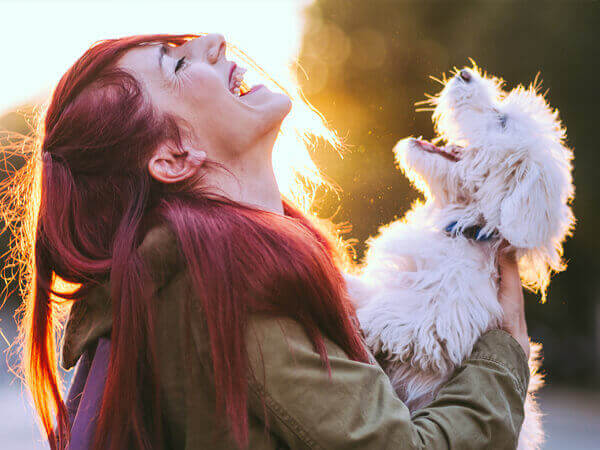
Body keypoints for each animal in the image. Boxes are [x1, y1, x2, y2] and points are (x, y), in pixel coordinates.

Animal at [350, 64, 576, 450]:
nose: (466, 74)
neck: (461, 226)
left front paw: (366, 319)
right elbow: (367, 288)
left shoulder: (449, 318)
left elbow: (403, 317)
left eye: (501, 121)